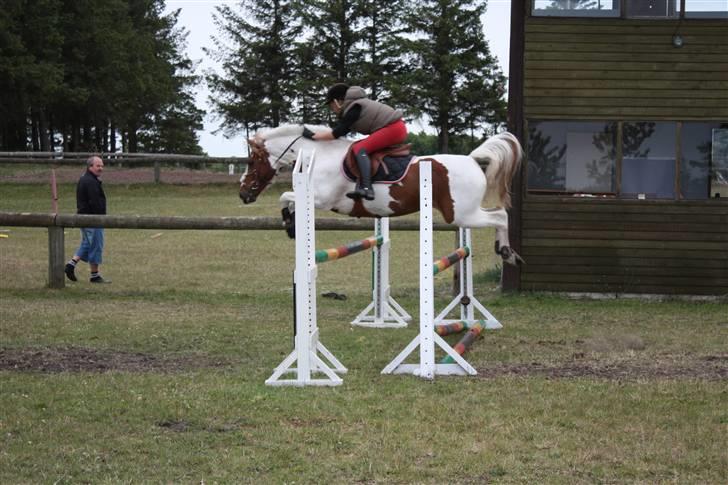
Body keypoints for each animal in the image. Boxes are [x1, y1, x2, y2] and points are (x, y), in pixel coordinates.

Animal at [239, 123, 524, 262]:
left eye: (252, 161)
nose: (243, 194)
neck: (319, 155)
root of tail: (473, 160)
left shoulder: (322, 199)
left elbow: (285, 197)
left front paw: (290, 225)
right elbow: (289, 200)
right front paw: (291, 225)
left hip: (461, 214)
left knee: (500, 216)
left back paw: (507, 252)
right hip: (466, 213)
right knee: (498, 214)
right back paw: (506, 251)